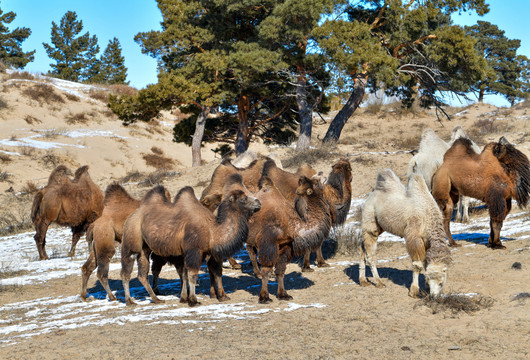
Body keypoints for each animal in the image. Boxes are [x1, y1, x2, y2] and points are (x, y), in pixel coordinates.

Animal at [120, 174, 260, 306]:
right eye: (243, 199)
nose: (258, 202)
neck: (212, 231)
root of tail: (131, 216)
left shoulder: (194, 252)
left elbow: (186, 274)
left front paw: (184, 298)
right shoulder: (194, 250)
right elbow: (192, 274)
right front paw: (193, 300)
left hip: (145, 248)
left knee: (142, 274)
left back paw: (156, 299)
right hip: (130, 240)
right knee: (126, 271)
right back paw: (129, 301)